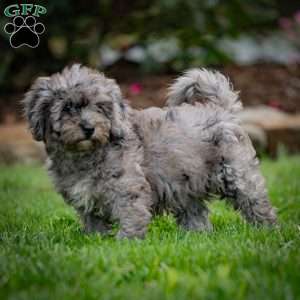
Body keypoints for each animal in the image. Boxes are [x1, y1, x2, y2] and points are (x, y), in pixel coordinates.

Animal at [23, 64, 276, 238]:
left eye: (101, 108)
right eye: (67, 108)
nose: (88, 128)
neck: (86, 154)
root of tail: (220, 109)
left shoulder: (128, 189)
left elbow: (131, 214)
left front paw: (126, 242)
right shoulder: (87, 199)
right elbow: (93, 220)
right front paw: (96, 240)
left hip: (237, 175)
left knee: (256, 203)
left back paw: (269, 230)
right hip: (186, 184)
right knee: (196, 212)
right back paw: (196, 236)